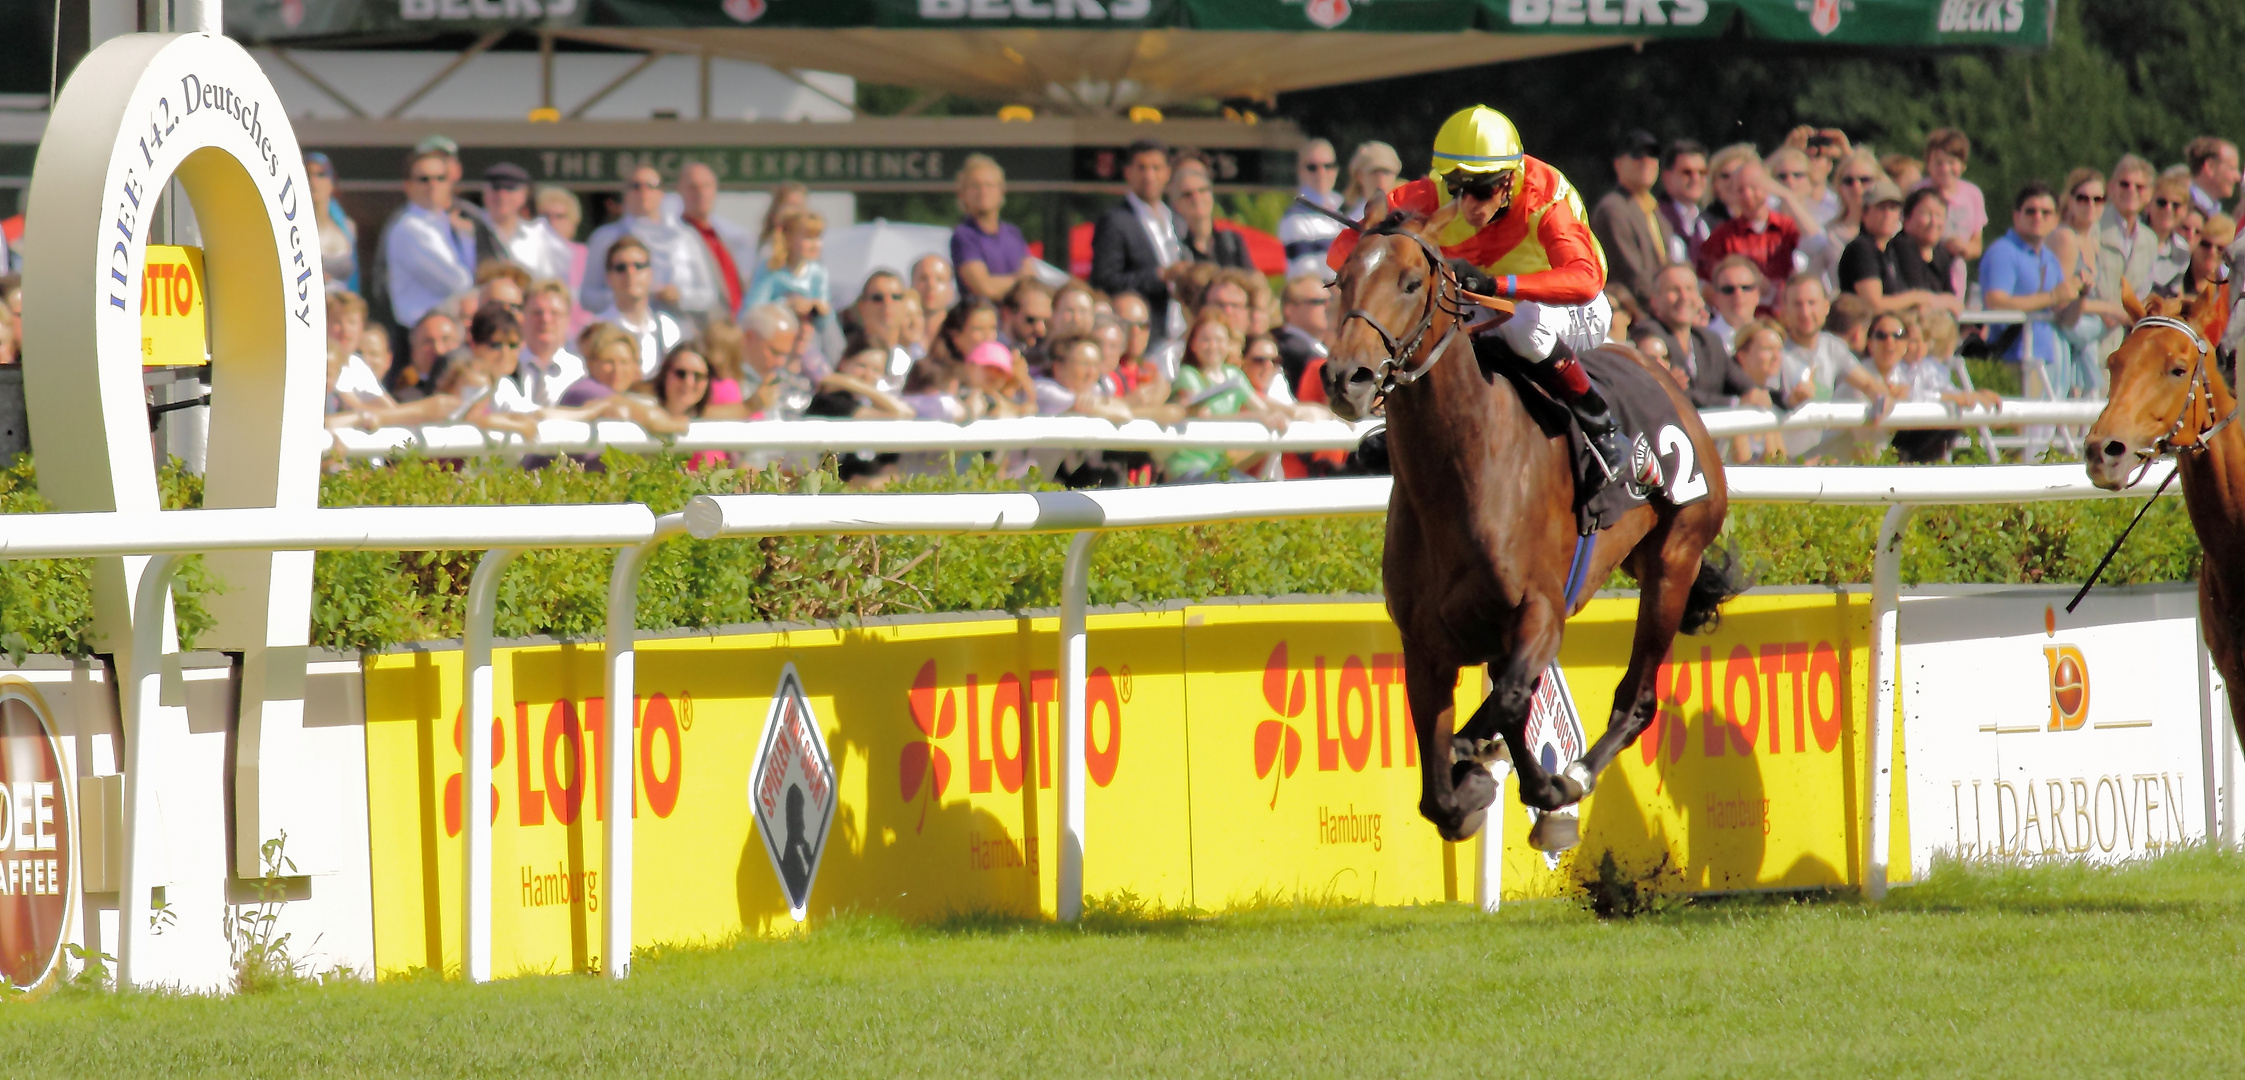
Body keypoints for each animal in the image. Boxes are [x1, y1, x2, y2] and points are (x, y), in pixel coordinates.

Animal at [1320, 216, 1742, 844]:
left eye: (1410, 282)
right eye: (1342, 279)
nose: (1346, 377)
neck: (1464, 473)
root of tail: (1663, 375)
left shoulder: (1542, 610)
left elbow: (1512, 701)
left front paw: (1485, 757)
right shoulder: (1423, 644)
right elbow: (1439, 792)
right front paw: (1475, 786)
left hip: (1675, 558)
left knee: (1636, 699)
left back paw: (1574, 775)